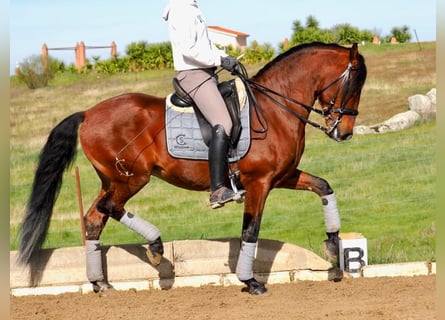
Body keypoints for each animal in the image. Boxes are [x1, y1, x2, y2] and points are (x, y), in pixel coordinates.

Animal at [17, 42, 366, 296]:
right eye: (353, 84)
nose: (344, 133)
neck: (274, 108)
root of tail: (88, 113)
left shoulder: (283, 176)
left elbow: (323, 186)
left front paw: (333, 243)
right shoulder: (259, 183)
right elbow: (250, 230)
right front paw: (250, 281)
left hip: (114, 179)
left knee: (94, 217)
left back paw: (99, 282)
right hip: (132, 178)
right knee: (108, 208)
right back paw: (155, 246)